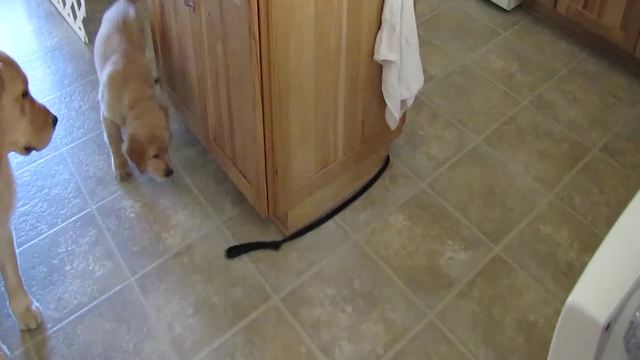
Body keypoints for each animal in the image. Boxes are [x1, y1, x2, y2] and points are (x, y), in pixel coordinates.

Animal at [92, 0, 172, 181]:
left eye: (168, 149)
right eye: (154, 155)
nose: (170, 172)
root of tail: (126, 2)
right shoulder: (107, 116)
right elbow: (114, 143)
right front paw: (121, 166)